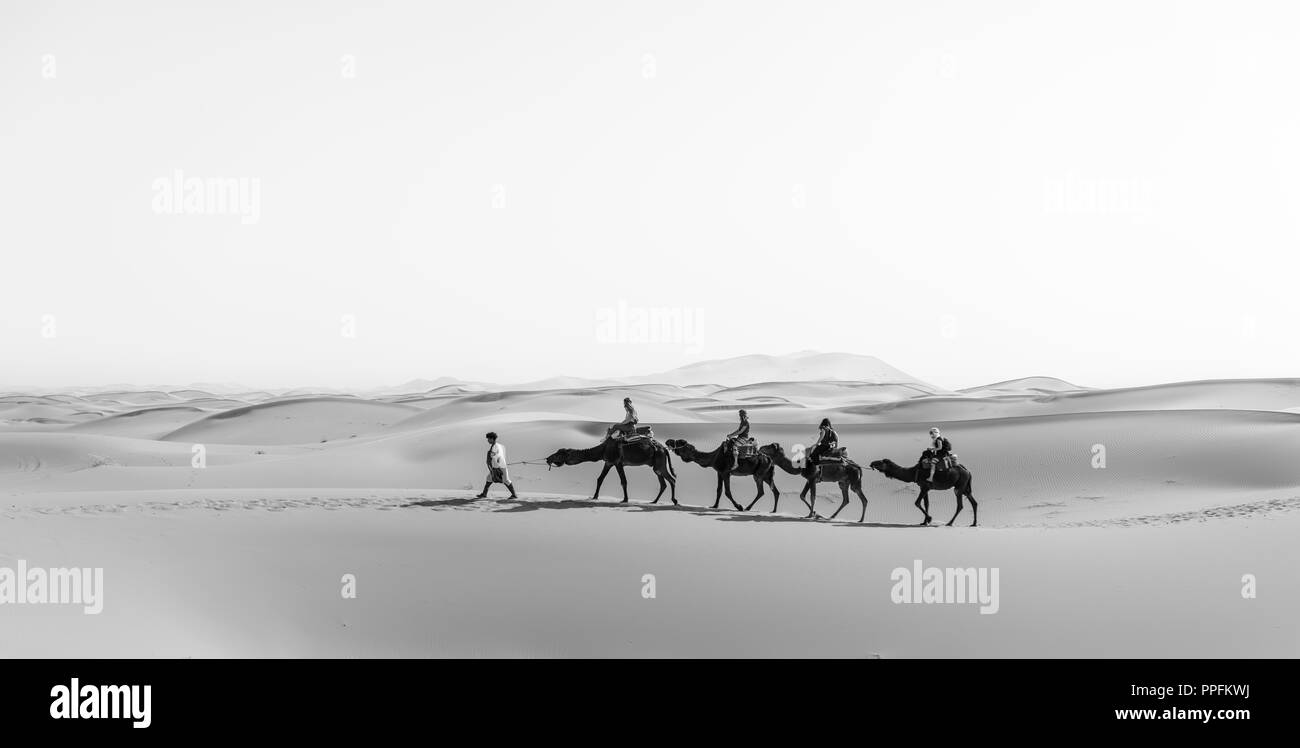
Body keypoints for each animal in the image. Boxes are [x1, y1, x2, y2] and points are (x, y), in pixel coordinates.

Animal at [543, 437, 676, 507]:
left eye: (559, 454)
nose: (548, 458)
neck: (602, 449)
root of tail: (664, 449)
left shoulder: (617, 463)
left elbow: (623, 481)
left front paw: (625, 500)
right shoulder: (608, 463)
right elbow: (600, 479)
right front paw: (595, 497)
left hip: (659, 461)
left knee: (672, 479)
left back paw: (674, 501)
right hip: (656, 465)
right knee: (663, 483)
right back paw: (654, 501)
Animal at [665, 439, 795, 515]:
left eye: (680, 442)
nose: (668, 441)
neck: (713, 458)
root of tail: (770, 459)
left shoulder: (726, 472)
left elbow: (727, 492)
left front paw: (739, 507)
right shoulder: (719, 472)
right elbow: (719, 490)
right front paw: (714, 506)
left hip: (759, 474)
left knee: (762, 491)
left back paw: (747, 508)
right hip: (766, 475)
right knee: (774, 491)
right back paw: (773, 510)